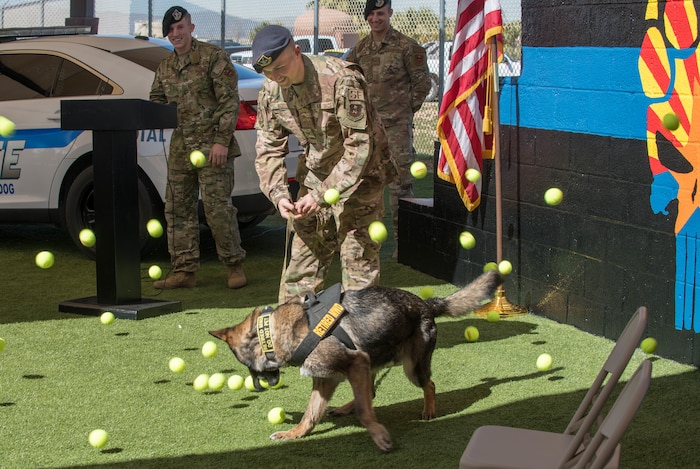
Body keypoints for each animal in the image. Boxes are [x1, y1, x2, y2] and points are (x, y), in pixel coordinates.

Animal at [209, 268, 504, 452]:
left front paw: (379, 435)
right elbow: (310, 414)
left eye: (247, 366)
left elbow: (364, 412)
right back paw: (344, 407)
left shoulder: (355, 363)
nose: (257, 387)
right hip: (371, 363)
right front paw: (294, 434)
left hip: (409, 368)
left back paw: (429, 410)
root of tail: (427, 304)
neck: (278, 331)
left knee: (427, 385)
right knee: (370, 391)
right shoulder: (326, 380)